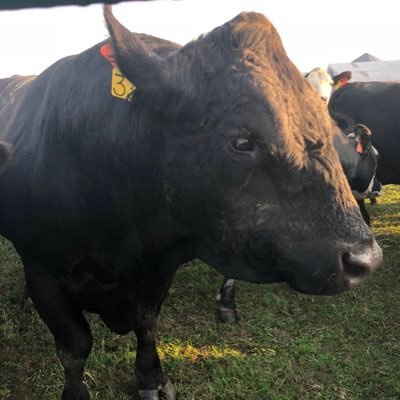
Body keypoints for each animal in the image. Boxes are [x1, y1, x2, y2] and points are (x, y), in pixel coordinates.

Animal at [0, 7, 382, 400]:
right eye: (242, 142)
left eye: (324, 119)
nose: (364, 258)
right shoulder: (44, 272)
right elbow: (75, 348)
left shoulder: (159, 269)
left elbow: (147, 323)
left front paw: (151, 378)